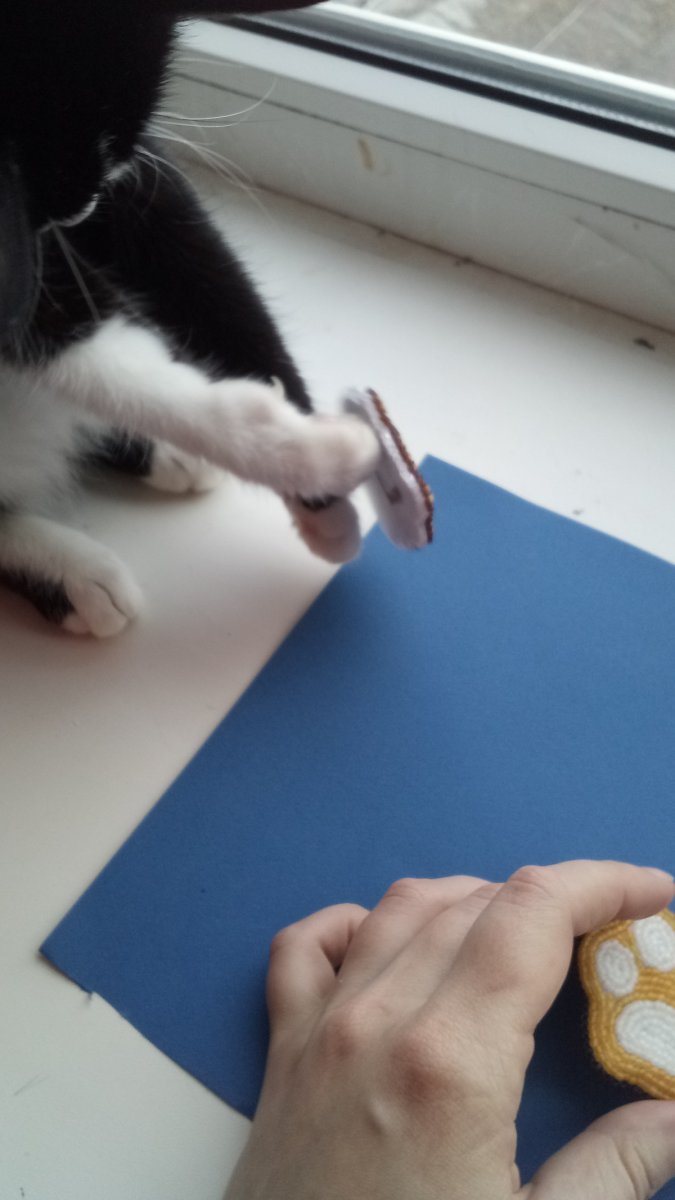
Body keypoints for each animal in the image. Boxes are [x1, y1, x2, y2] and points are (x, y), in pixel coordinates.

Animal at [0, 1, 379, 636]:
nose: (76, 209)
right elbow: (85, 341)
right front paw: (302, 449)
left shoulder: (144, 181)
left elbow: (210, 278)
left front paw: (320, 495)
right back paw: (72, 572)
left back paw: (161, 455)